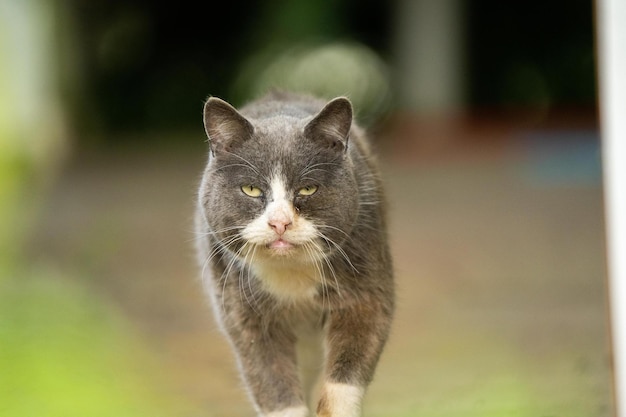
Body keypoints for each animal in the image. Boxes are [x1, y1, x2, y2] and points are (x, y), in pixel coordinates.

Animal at [193, 92, 392, 416]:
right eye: (251, 189)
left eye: (308, 189)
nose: (280, 223)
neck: (291, 274)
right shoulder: (244, 316)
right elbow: (274, 386)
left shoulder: (366, 292)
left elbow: (344, 377)